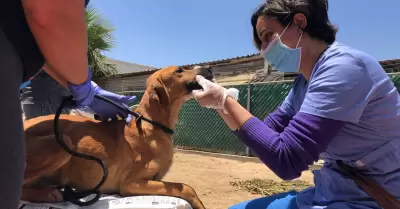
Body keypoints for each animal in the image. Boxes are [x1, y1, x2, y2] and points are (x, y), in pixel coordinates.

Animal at [21, 65, 214, 209]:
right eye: (179, 70)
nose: (209, 68)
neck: (152, 124)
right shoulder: (131, 184)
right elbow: (185, 187)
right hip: (63, 141)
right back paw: (49, 194)